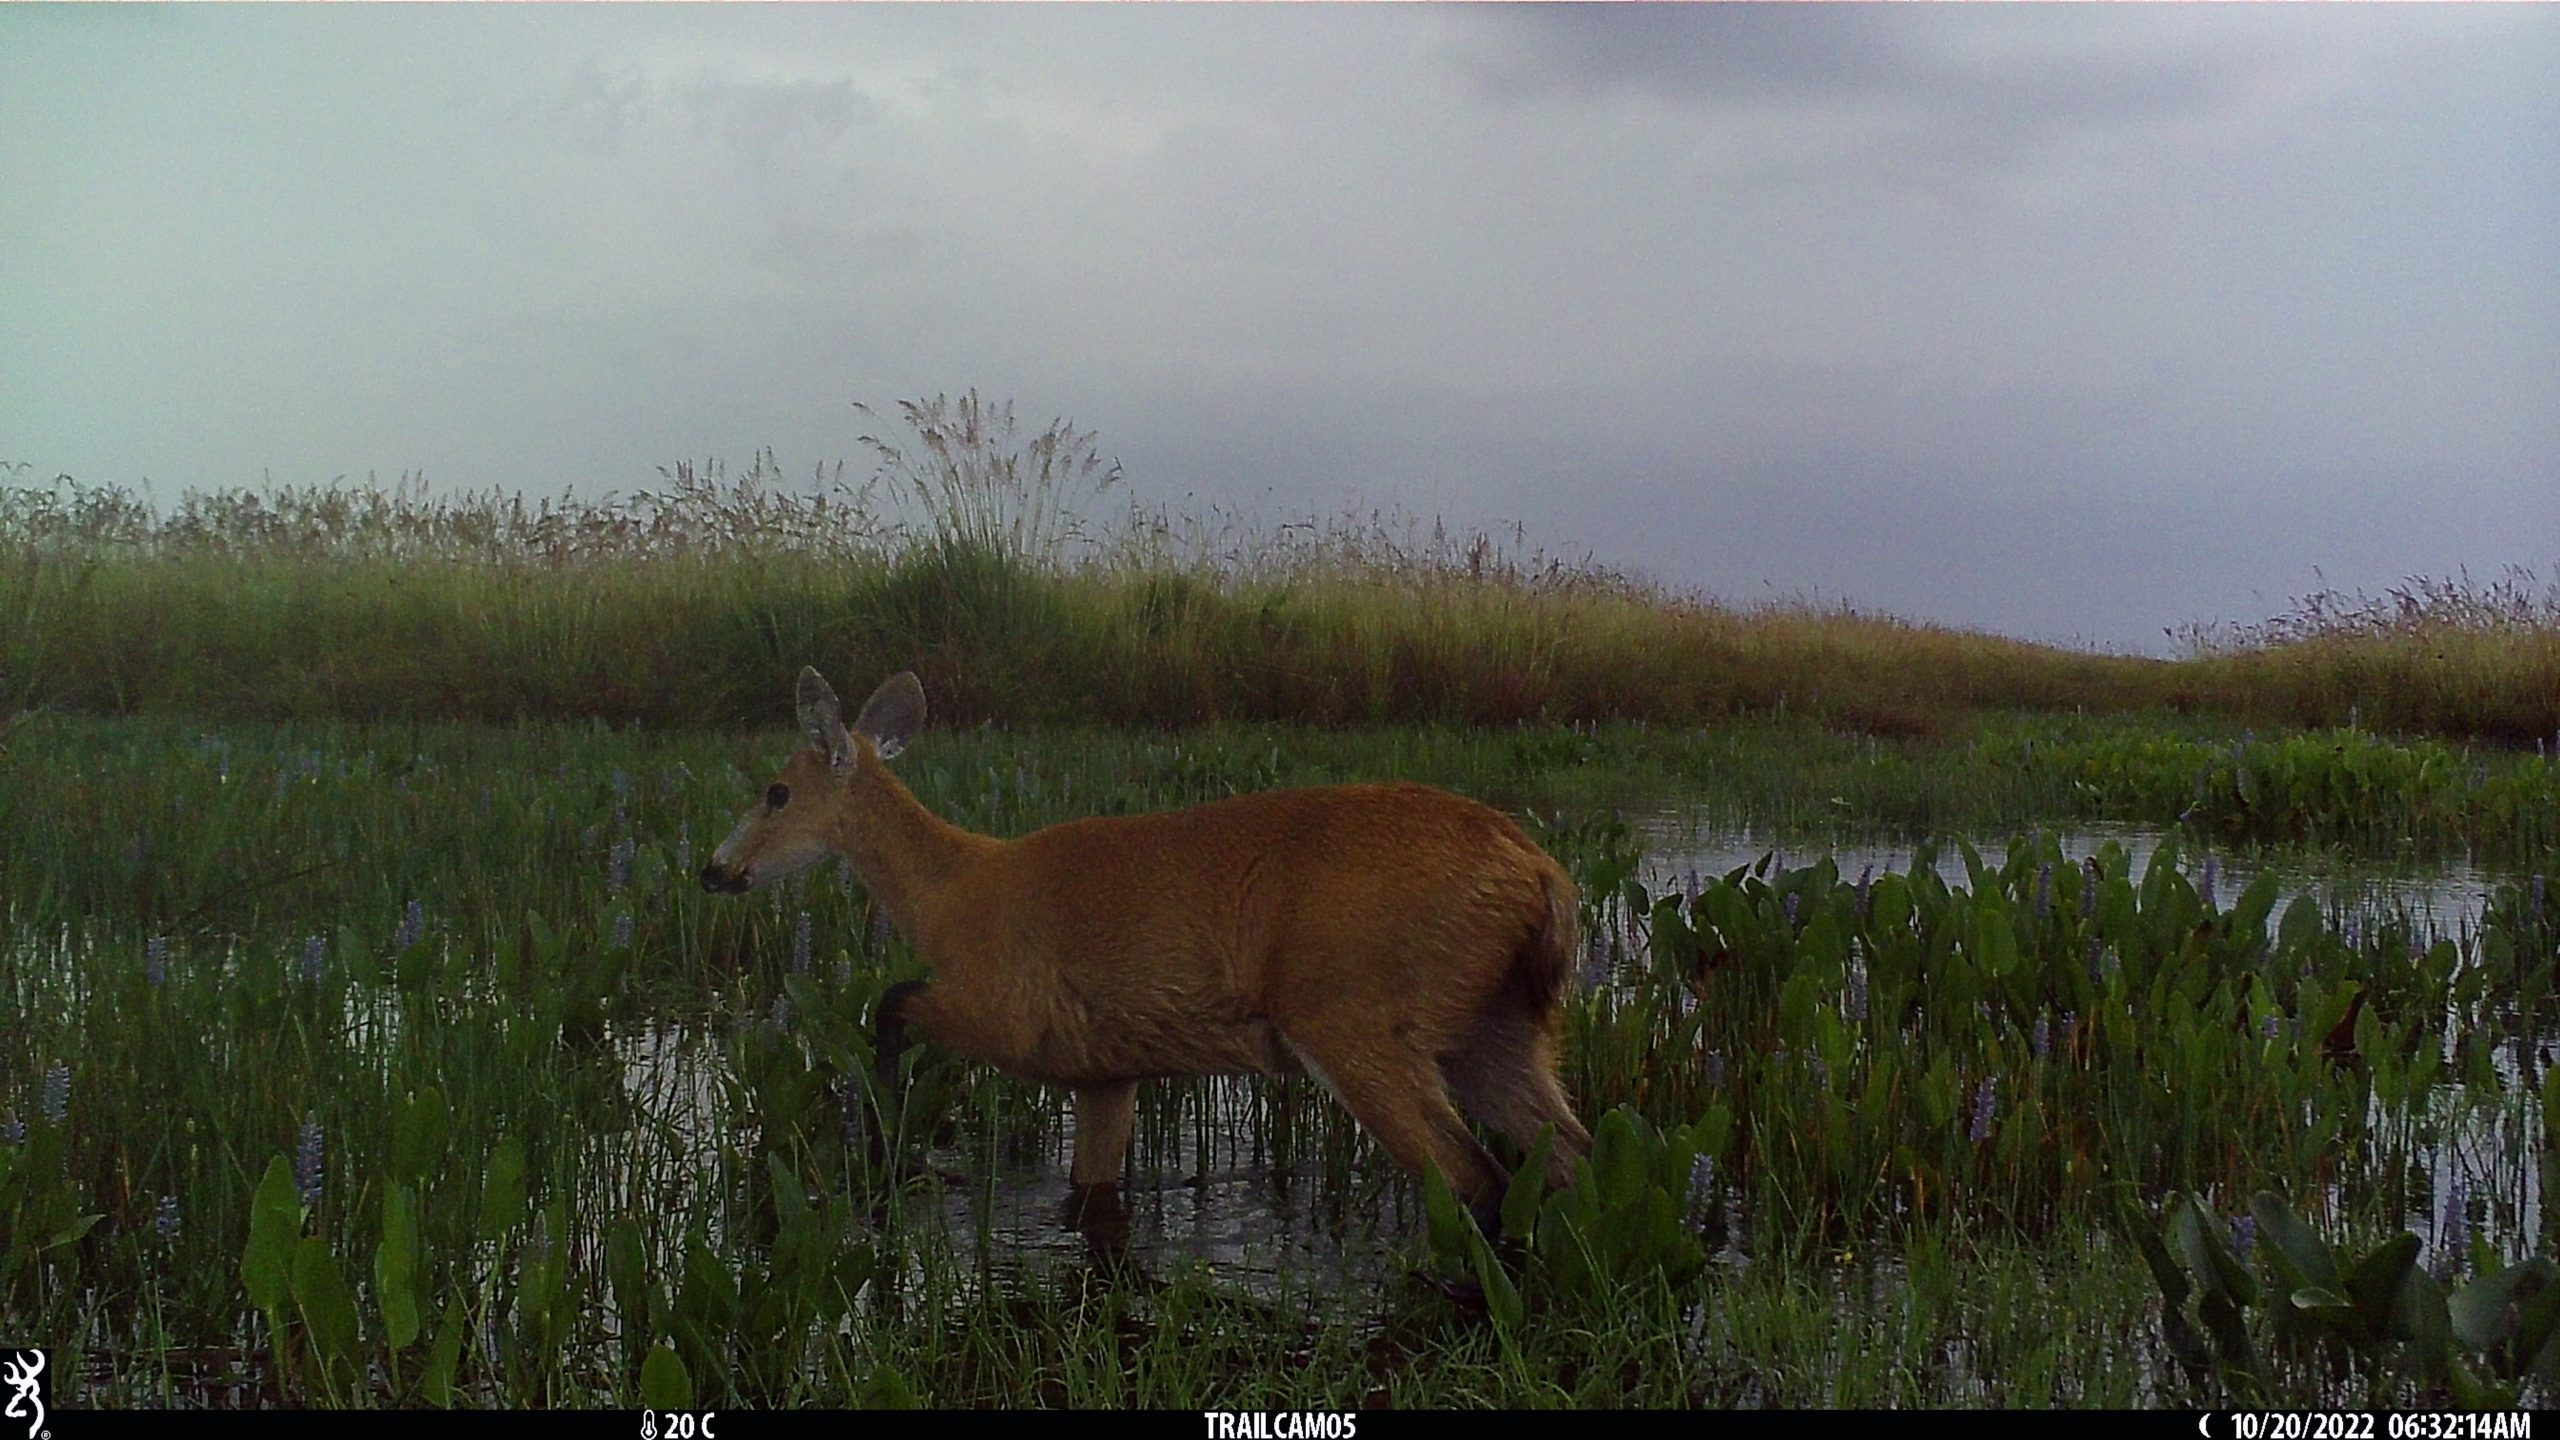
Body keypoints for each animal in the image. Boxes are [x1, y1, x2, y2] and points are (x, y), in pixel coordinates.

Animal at [691, 666, 1587, 1229]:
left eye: (776, 792)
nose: (712, 869)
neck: (953, 895)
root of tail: (1540, 876)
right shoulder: (1104, 1071)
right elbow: (1092, 1190)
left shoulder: (1008, 1013)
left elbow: (891, 1004)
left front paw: (889, 1159)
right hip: (1500, 1024)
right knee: (1571, 1155)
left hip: (1356, 1015)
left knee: (1476, 1177)